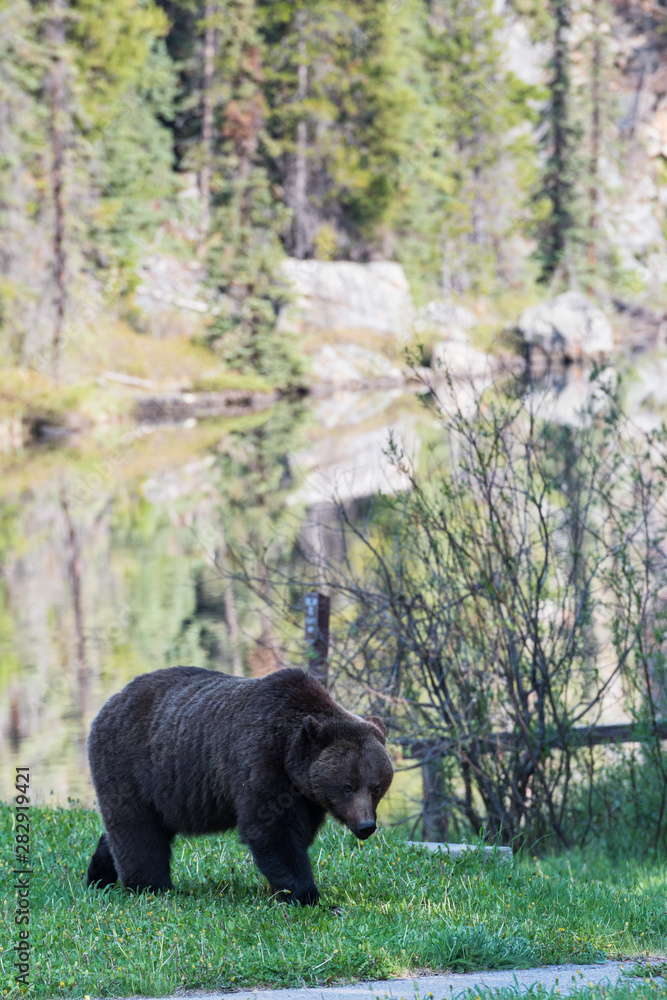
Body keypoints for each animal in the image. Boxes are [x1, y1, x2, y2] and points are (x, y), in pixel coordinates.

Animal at [87, 665, 393, 905]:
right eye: (347, 786)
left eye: (376, 786)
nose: (366, 826)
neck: (290, 756)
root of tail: (108, 703)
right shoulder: (261, 760)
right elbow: (272, 831)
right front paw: (309, 896)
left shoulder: (307, 794)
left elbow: (298, 835)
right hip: (132, 766)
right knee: (137, 830)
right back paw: (152, 887)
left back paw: (99, 875)